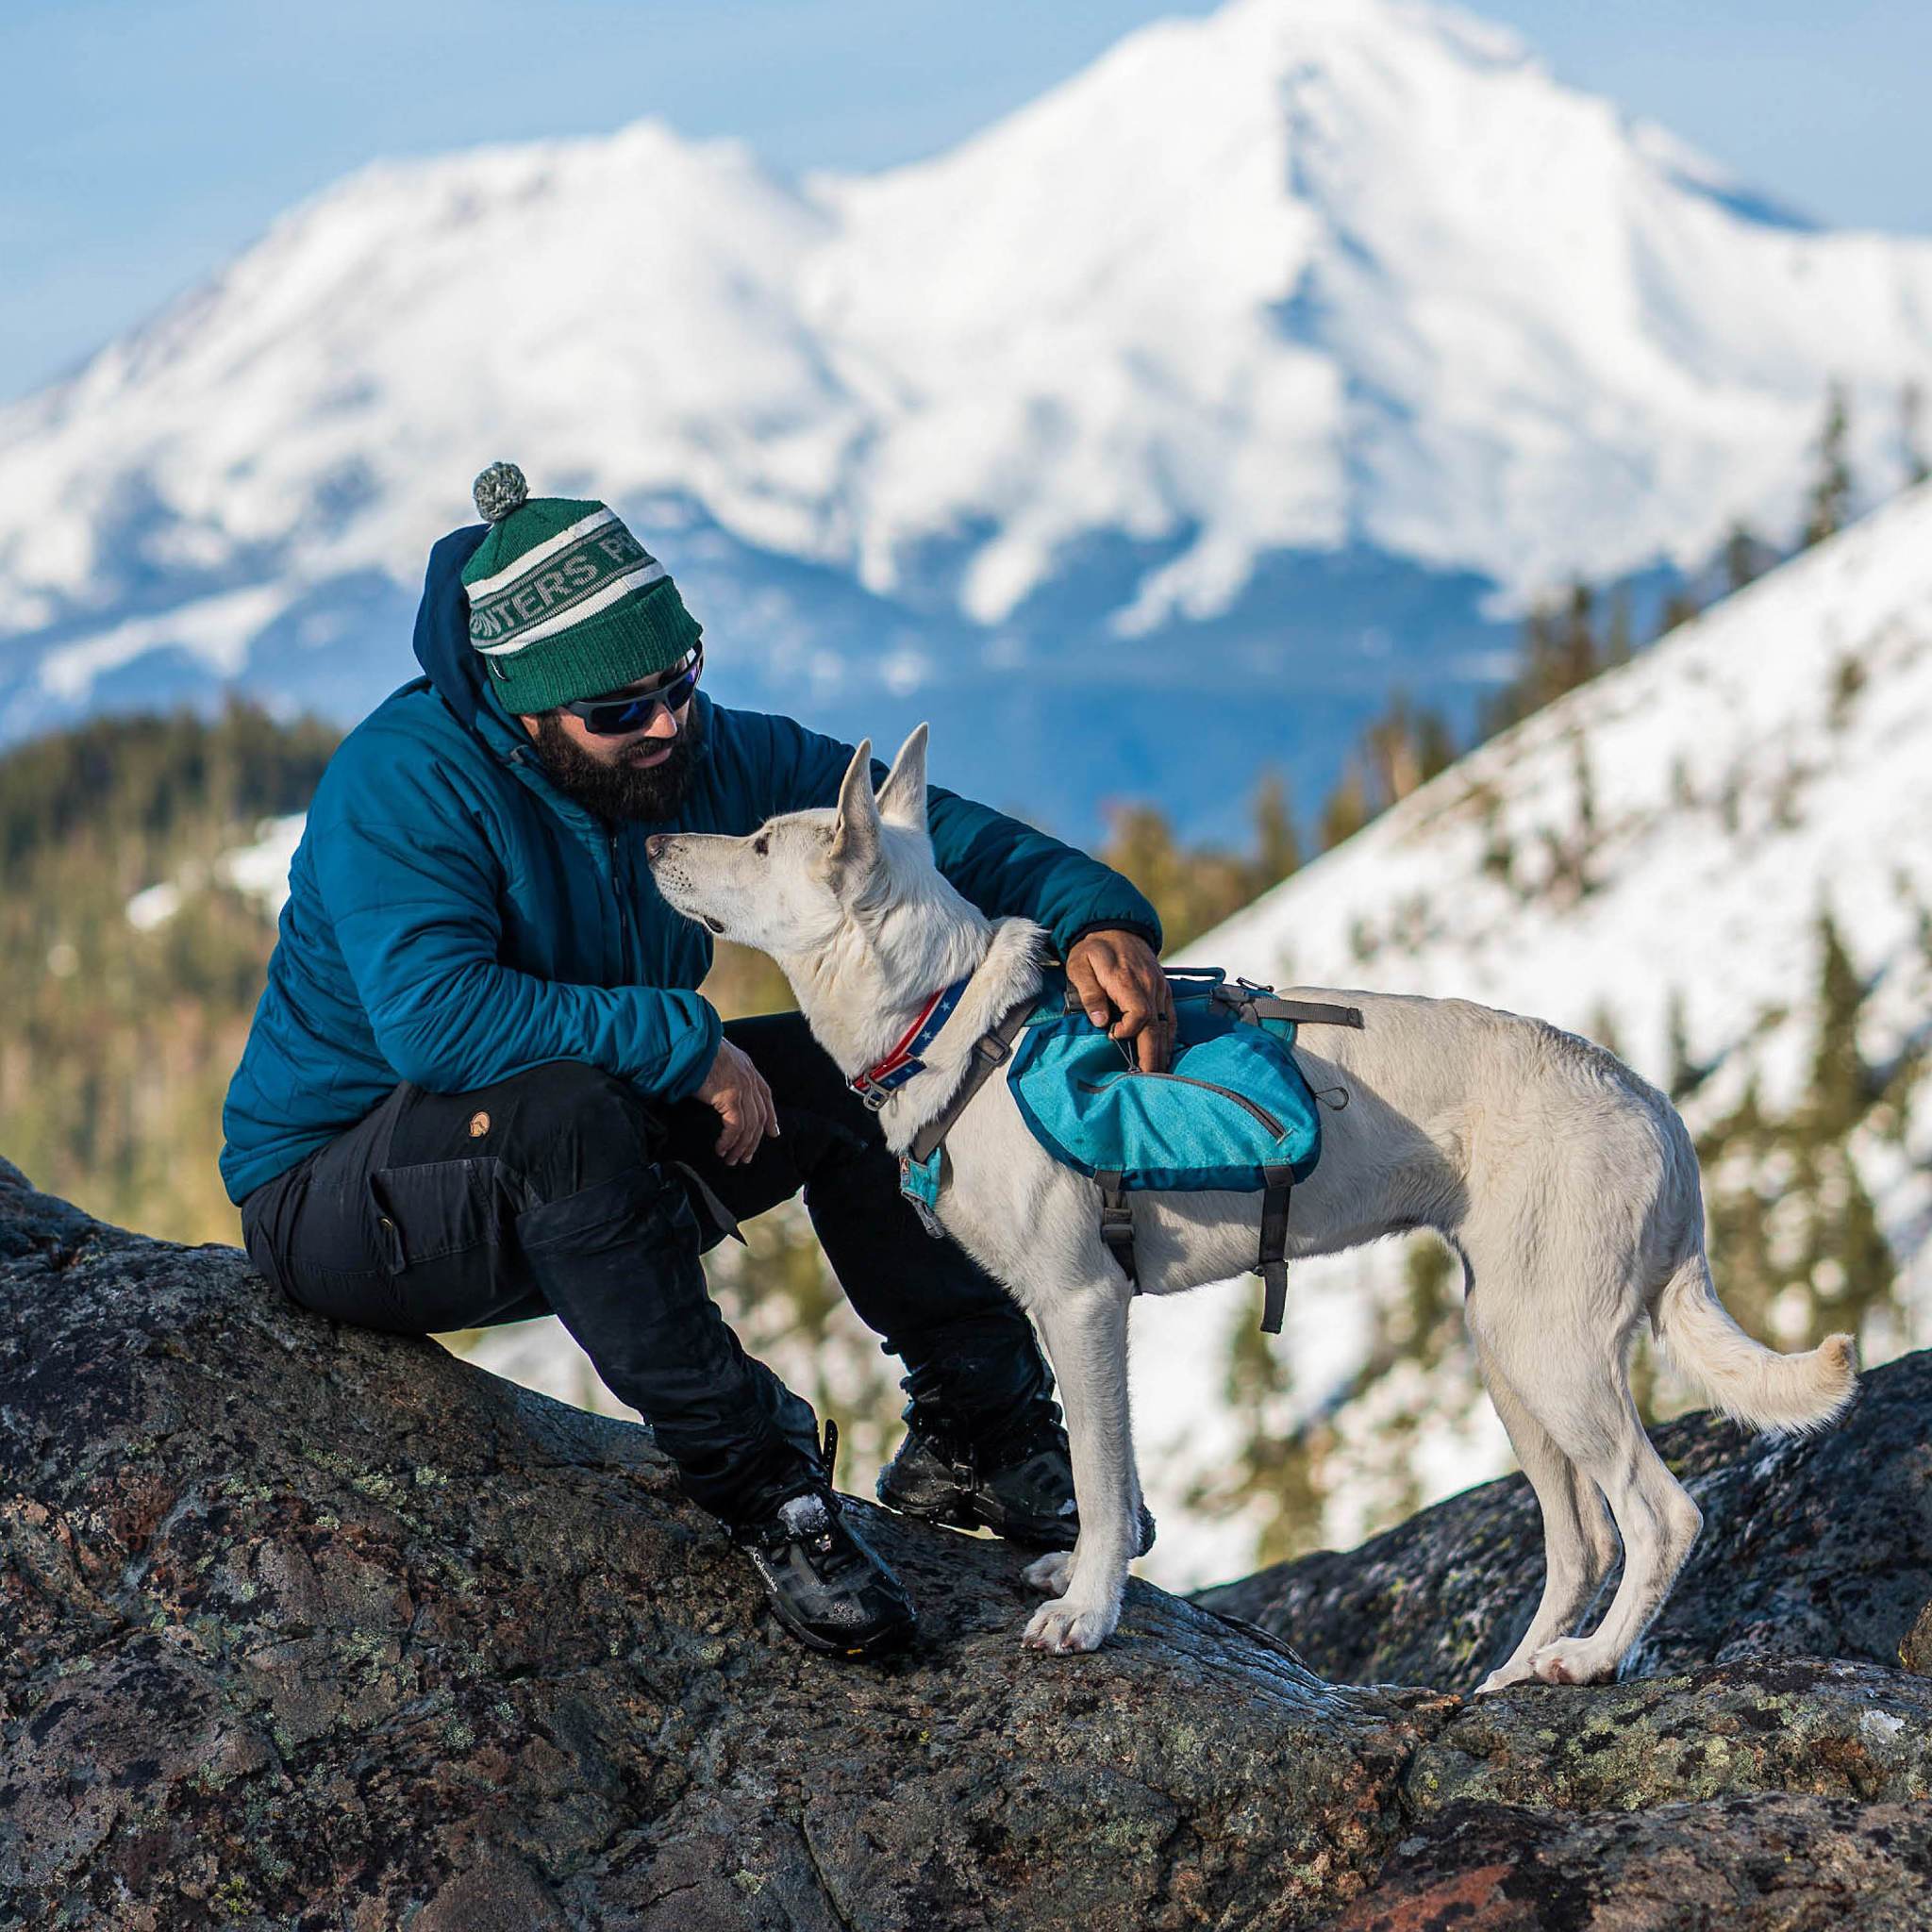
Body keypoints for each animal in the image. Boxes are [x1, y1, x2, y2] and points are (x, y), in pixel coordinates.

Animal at [645, 726, 1855, 1692]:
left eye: (761, 844)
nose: (652, 845)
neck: (958, 1020)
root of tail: (1656, 1107)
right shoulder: (1093, 1319)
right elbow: (1117, 1479)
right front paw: (1089, 1572)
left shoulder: (1081, 1304)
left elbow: (1100, 1474)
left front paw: (1085, 1613)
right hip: (1509, 1349)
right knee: (1581, 1540)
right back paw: (1515, 1673)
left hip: (1548, 1348)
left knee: (1659, 1516)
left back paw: (1597, 1660)